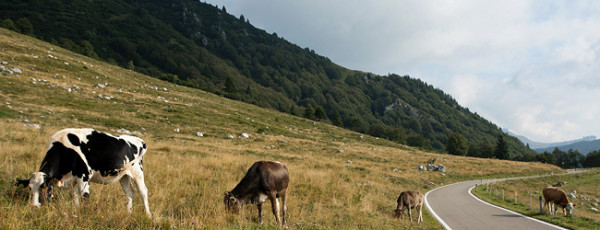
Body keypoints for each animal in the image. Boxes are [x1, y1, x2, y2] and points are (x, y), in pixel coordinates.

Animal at [18, 128, 152, 217]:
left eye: (43, 187)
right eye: (30, 188)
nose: (34, 206)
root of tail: (138, 140)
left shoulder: (84, 175)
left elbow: (85, 196)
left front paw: (85, 214)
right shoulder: (73, 178)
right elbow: (75, 196)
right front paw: (76, 211)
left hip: (138, 172)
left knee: (143, 192)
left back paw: (148, 215)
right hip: (123, 175)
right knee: (129, 192)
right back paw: (129, 212)